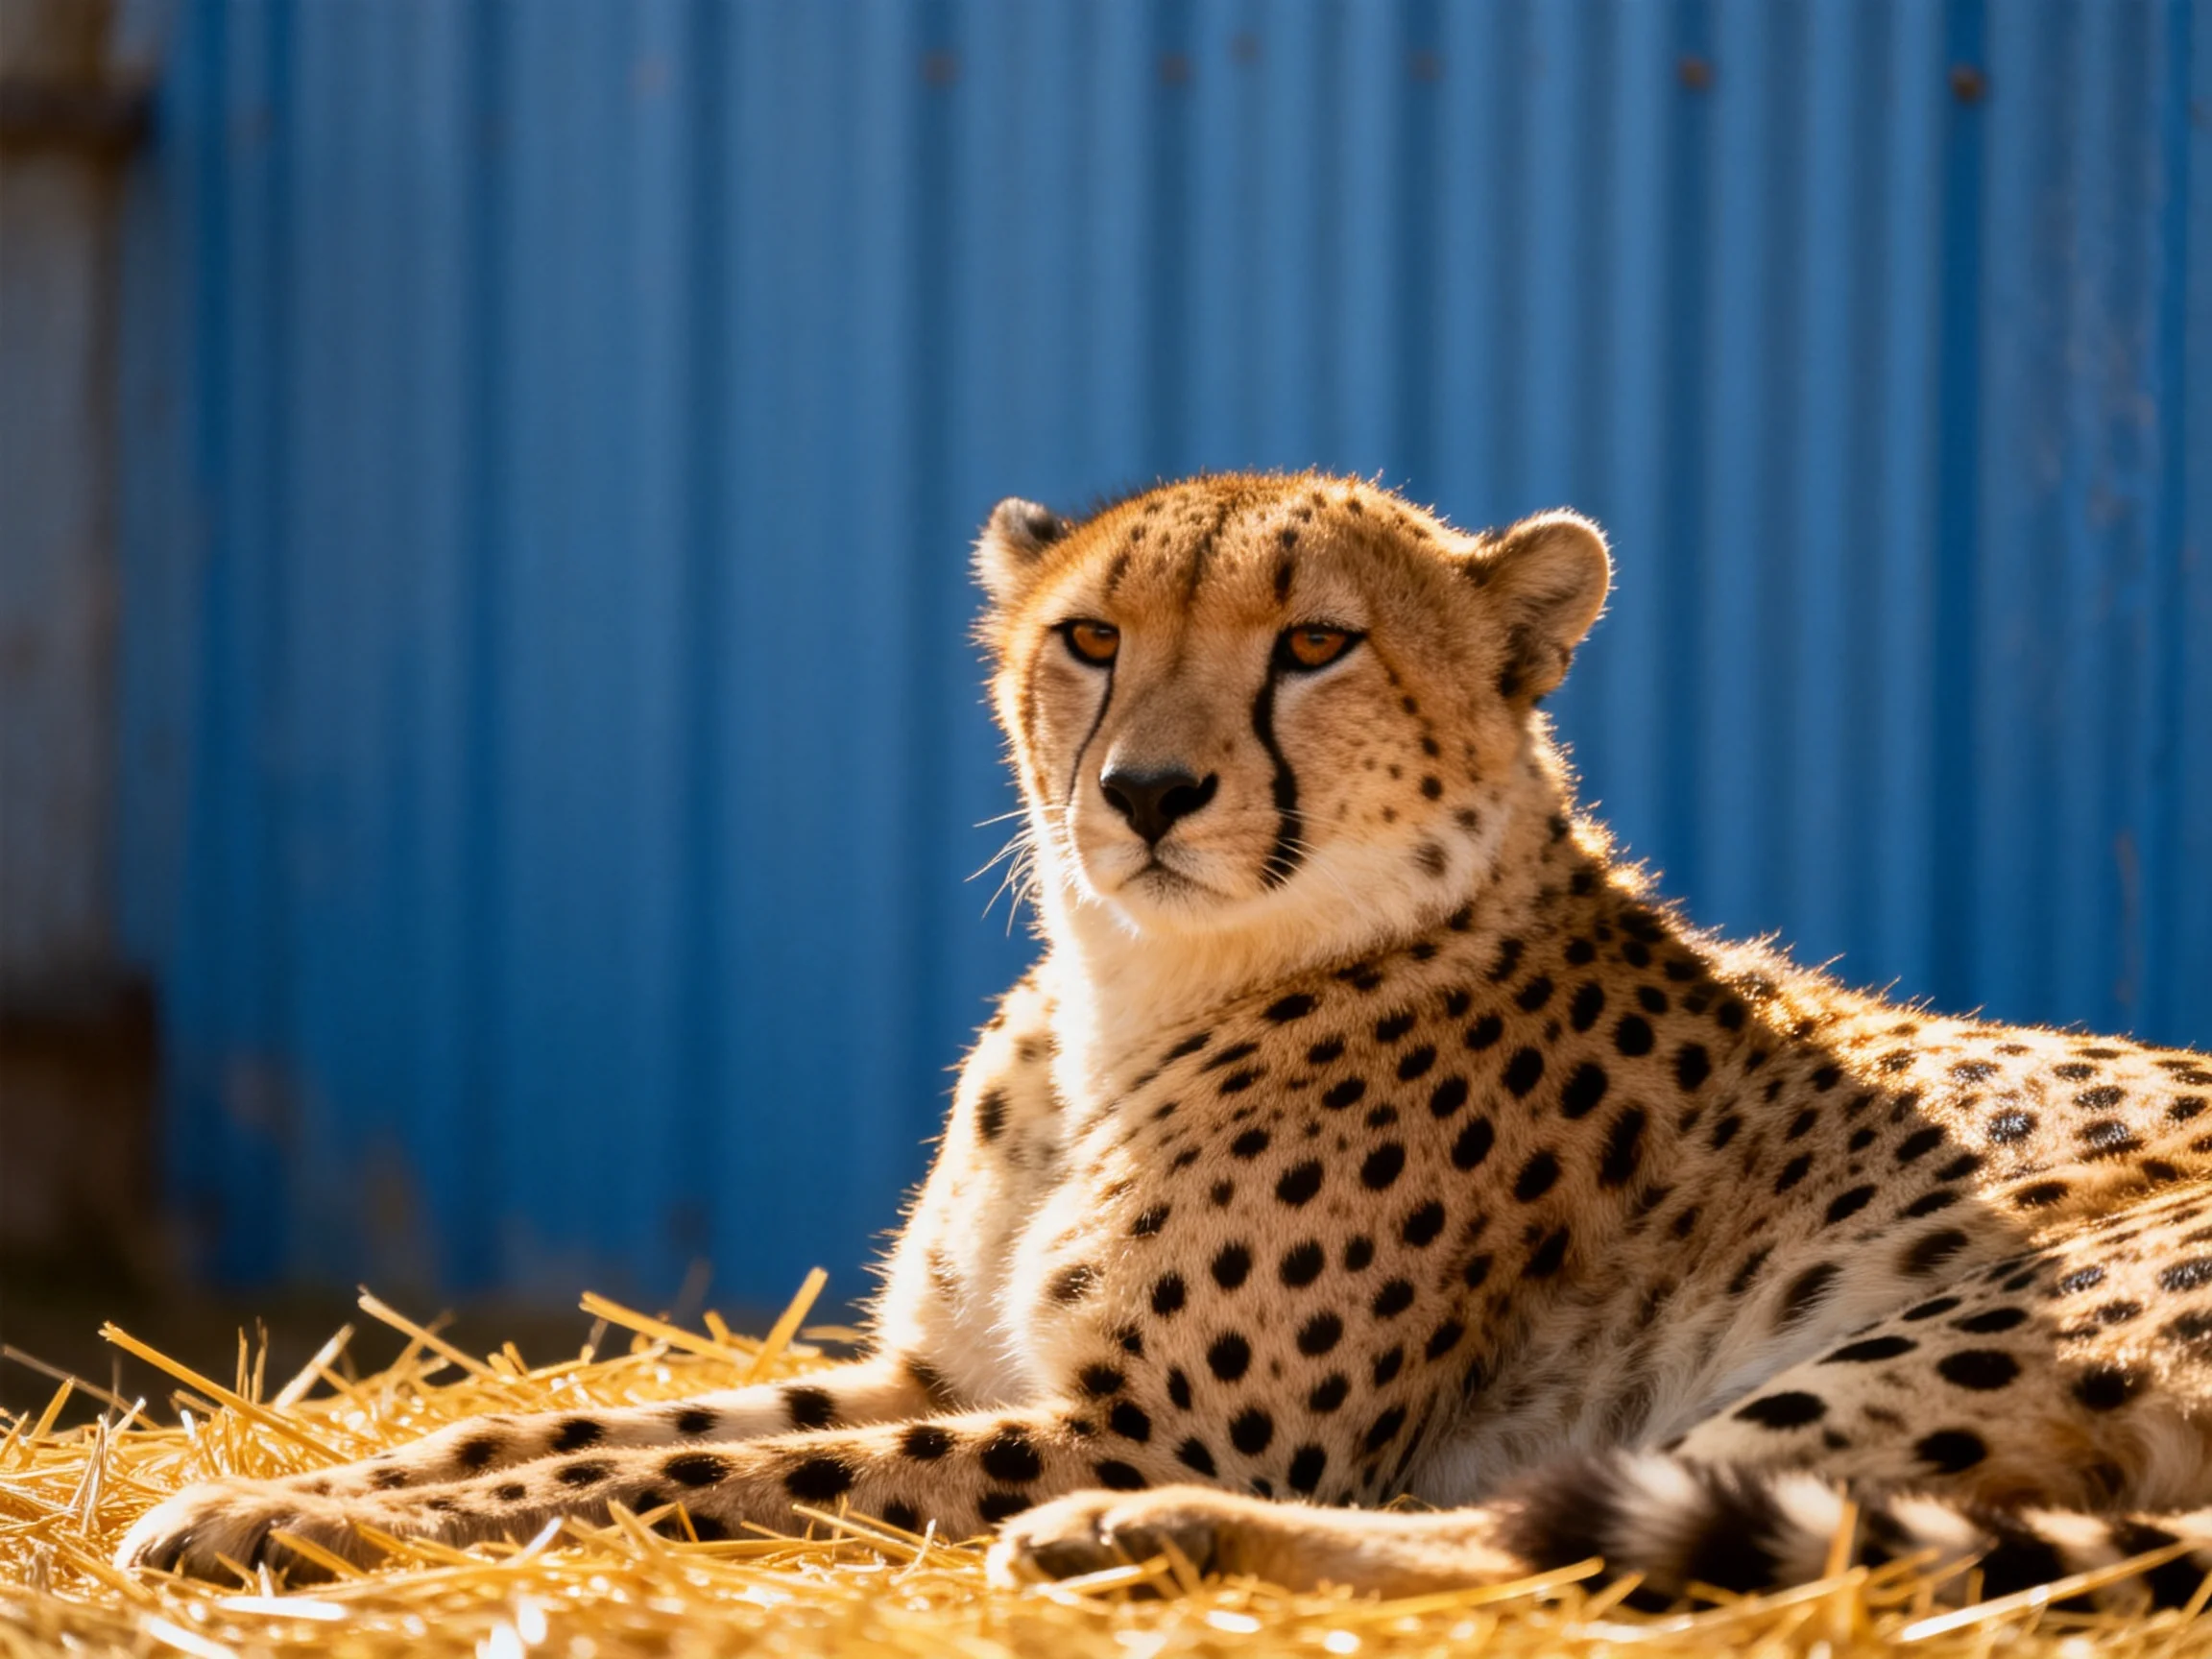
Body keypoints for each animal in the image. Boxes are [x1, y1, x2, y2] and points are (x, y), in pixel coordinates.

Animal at [118, 472, 2212, 1612]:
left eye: (1316, 645)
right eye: (1092, 638)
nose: (1144, 791)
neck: (1132, 993)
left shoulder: (1128, 1412)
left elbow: (679, 1484)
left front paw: (312, 1518)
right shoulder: (930, 1365)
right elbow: (562, 1425)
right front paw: (267, 1487)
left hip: (1936, 1334)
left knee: (1588, 1543)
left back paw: (1135, 1538)